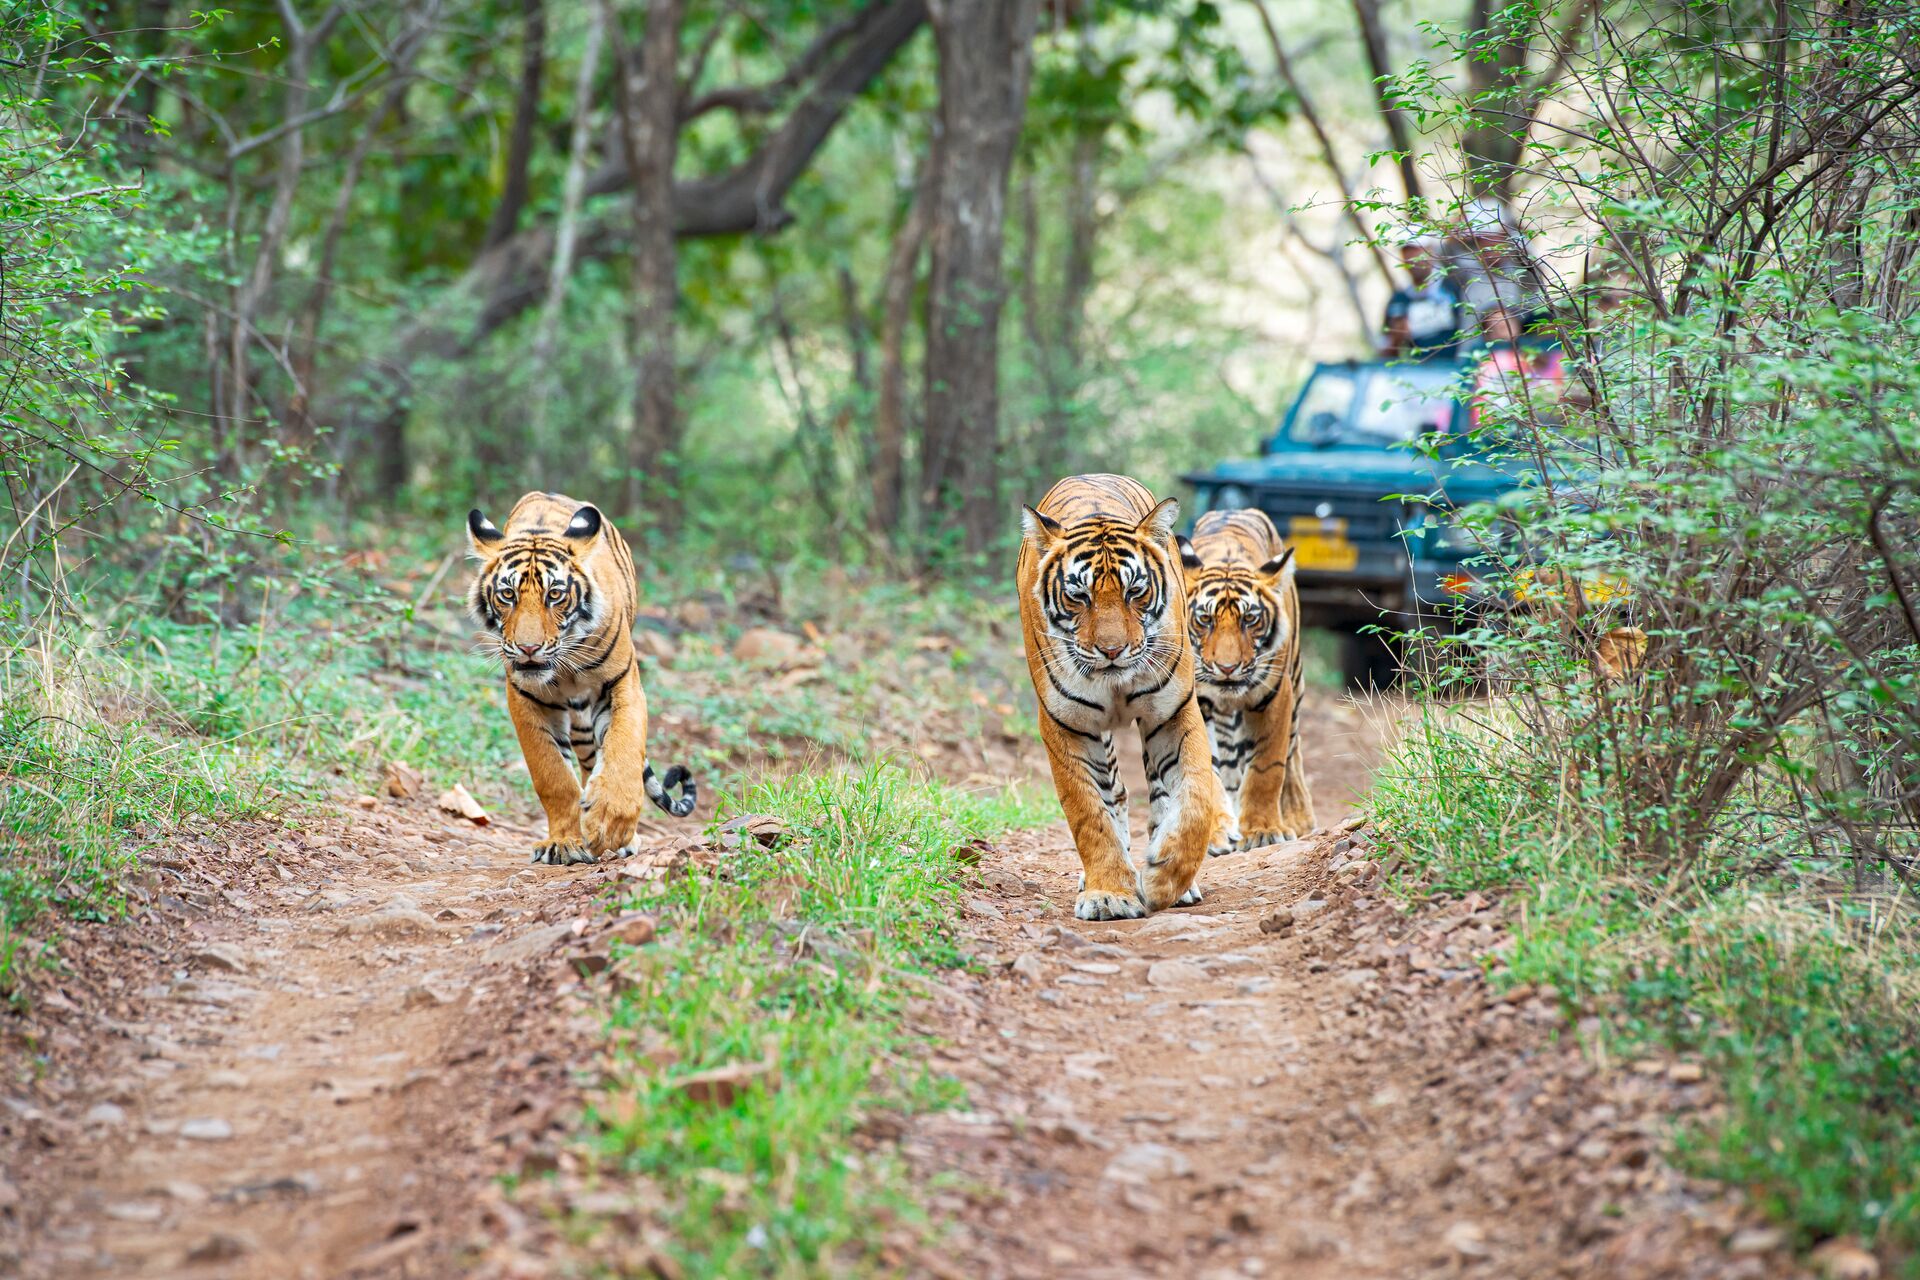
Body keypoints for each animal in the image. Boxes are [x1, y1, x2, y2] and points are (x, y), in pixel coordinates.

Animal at [466, 492, 696, 865]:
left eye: (555, 594)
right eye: (507, 595)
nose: (528, 648)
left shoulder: (624, 684)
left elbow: (624, 749)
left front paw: (610, 822)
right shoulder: (524, 697)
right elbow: (553, 775)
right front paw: (564, 842)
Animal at [1016, 474, 1226, 920]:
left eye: (1135, 592)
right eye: (1079, 596)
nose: (1112, 651)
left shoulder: (1173, 713)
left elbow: (1195, 799)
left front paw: (1164, 879)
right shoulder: (1067, 724)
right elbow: (1090, 814)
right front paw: (1109, 894)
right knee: (1115, 795)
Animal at [1177, 508, 1315, 849]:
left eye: (1250, 619)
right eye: (1204, 619)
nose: (1227, 668)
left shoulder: (1275, 695)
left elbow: (1267, 766)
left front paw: (1264, 830)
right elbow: (1208, 769)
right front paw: (1215, 831)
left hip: (1296, 681)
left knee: (1293, 751)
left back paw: (1298, 817)